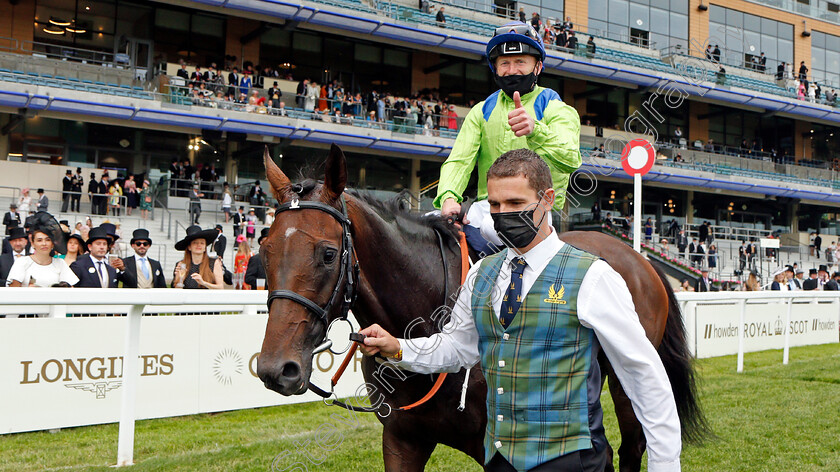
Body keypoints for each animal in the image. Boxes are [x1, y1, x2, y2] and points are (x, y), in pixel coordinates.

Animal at [258, 145, 708, 472]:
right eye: (265, 249)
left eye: (328, 254)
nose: (276, 369)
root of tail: (640, 259)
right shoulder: (403, 440)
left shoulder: (494, 444)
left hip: (626, 381)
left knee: (631, 447)